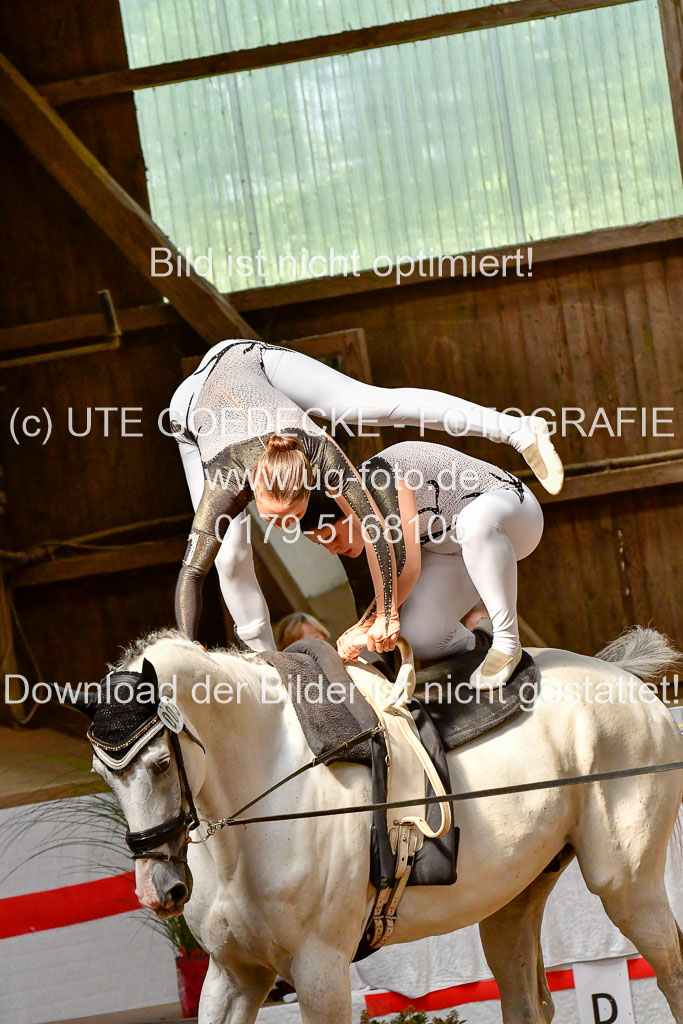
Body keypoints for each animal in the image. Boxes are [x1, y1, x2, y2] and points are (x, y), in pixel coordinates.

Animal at [81, 626, 683, 1024]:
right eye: (103, 774)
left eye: (162, 764)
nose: (157, 889)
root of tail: (622, 678)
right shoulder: (234, 976)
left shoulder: (321, 972)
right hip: (513, 899)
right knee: (527, 999)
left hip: (627, 886)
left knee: (670, 971)